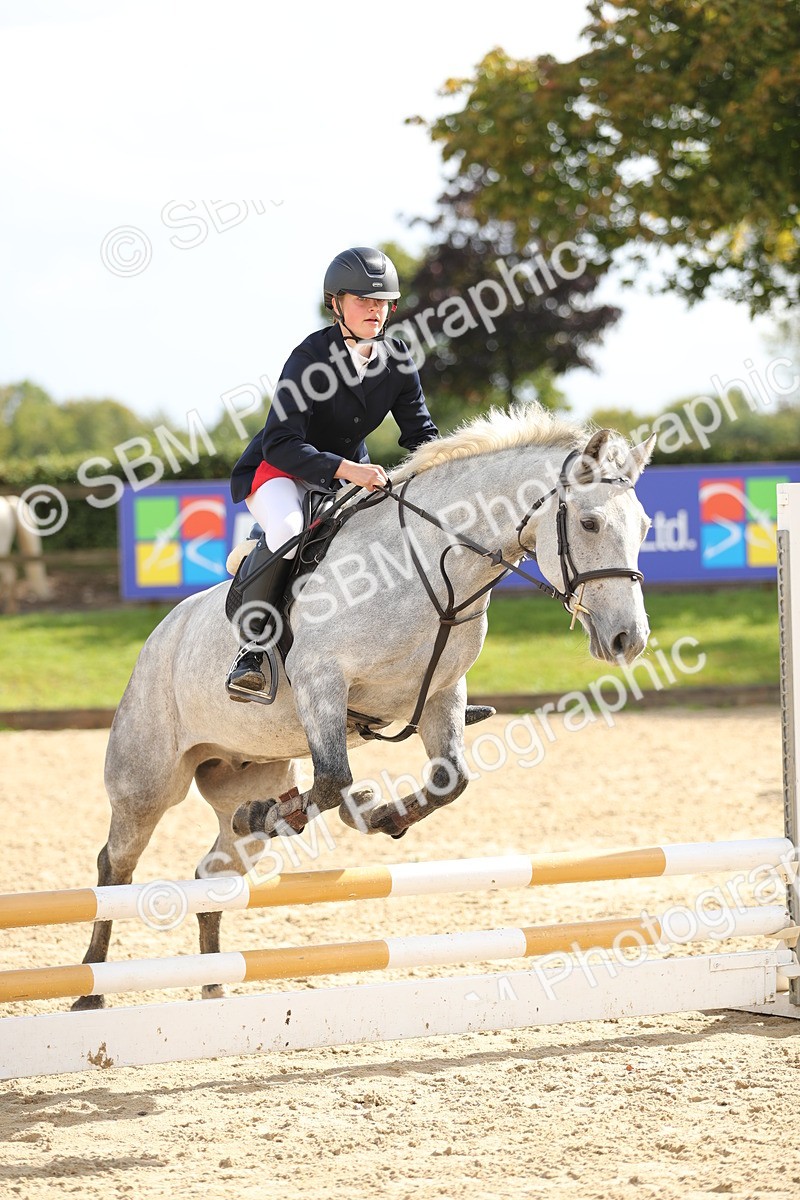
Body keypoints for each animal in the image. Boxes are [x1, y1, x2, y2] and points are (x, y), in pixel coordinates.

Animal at [74, 406, 655, 1009]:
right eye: (589, 523)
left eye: (644, 528)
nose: (628, 640)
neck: (430, 569)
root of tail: (161, 633)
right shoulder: (322, 683)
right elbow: (334, 781)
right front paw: (323, 812)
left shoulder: (442, 694)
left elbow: (447, 781)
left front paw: (383, 815)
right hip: (147, 782)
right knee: (116, 865)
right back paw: (91, 988)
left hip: (244, 770)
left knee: (214, 867)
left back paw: (214, 980)